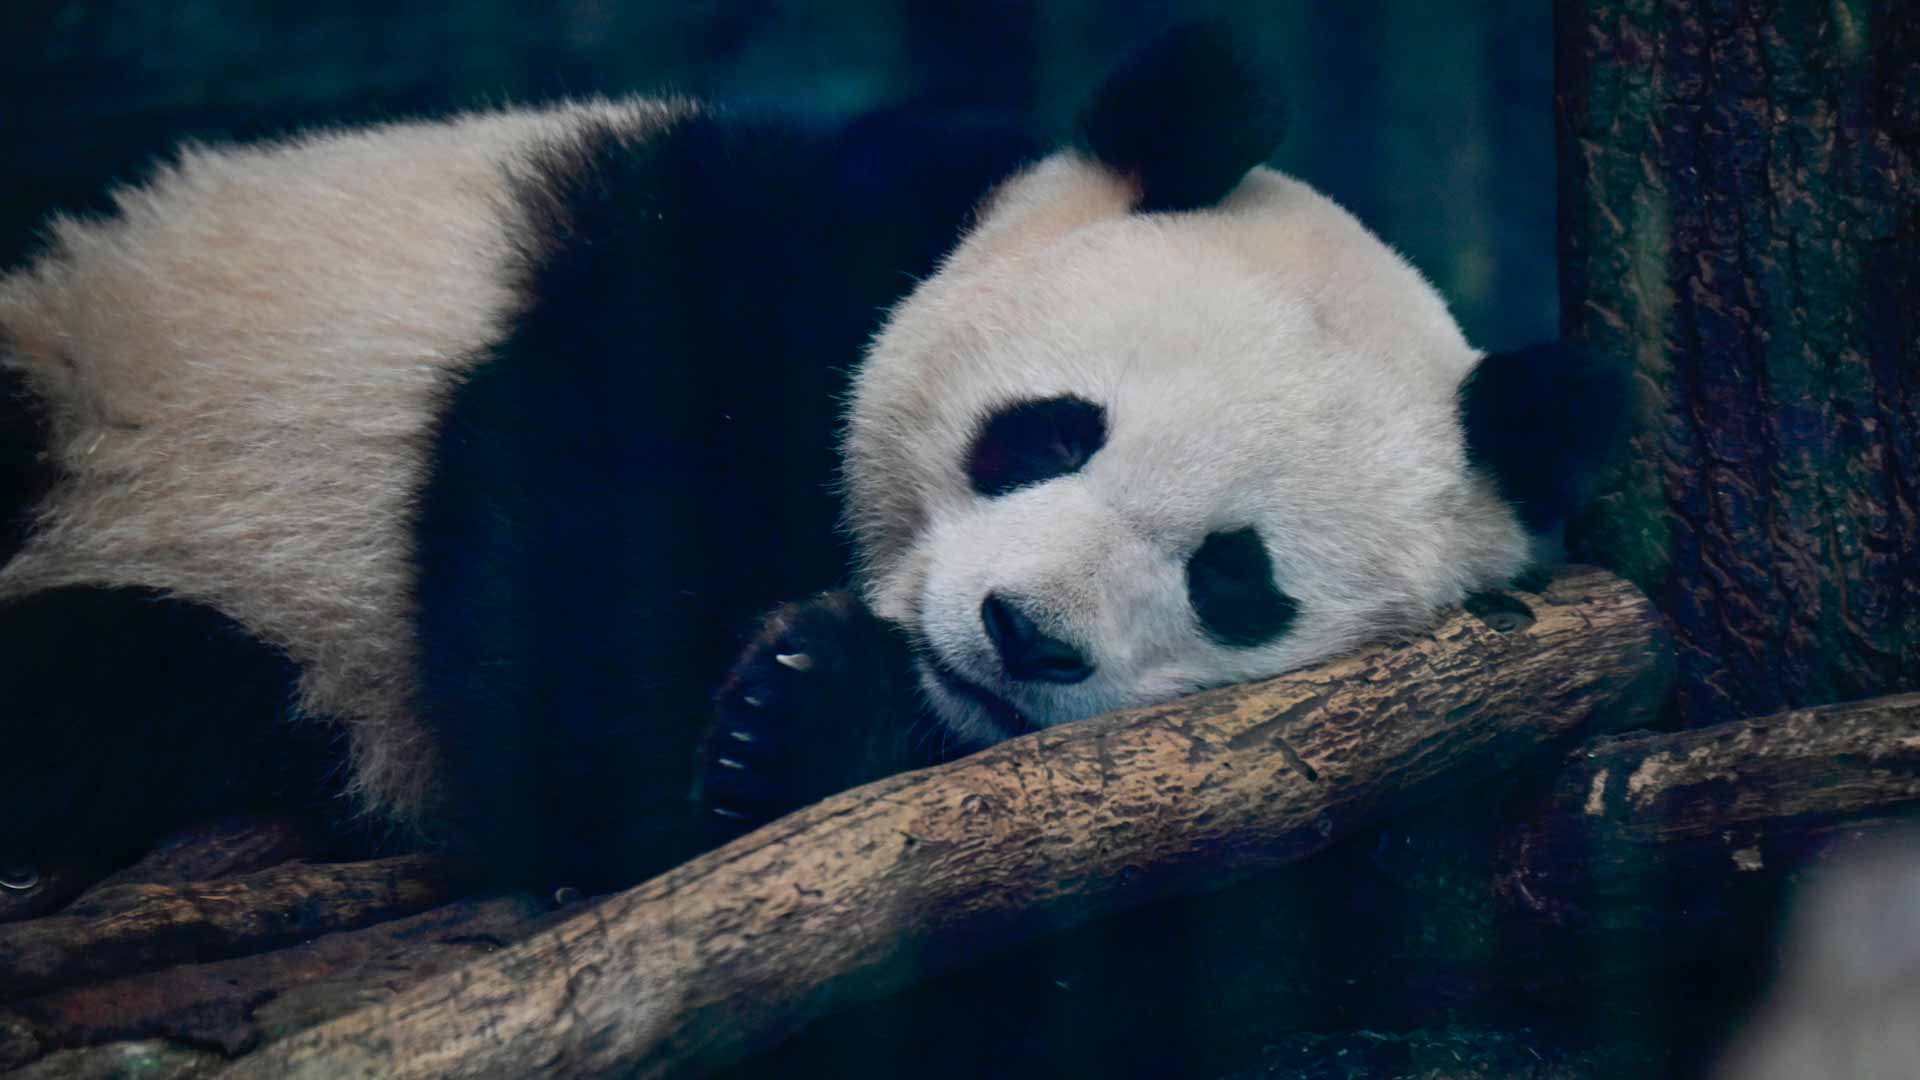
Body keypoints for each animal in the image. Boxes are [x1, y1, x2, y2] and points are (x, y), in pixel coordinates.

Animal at [0, 25, 1626, 893]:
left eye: (1235, 580)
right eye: (1047, 433)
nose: (1022, 634)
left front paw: (796, 711)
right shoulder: (740, 257)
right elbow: (566, 599)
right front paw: (762, 714)